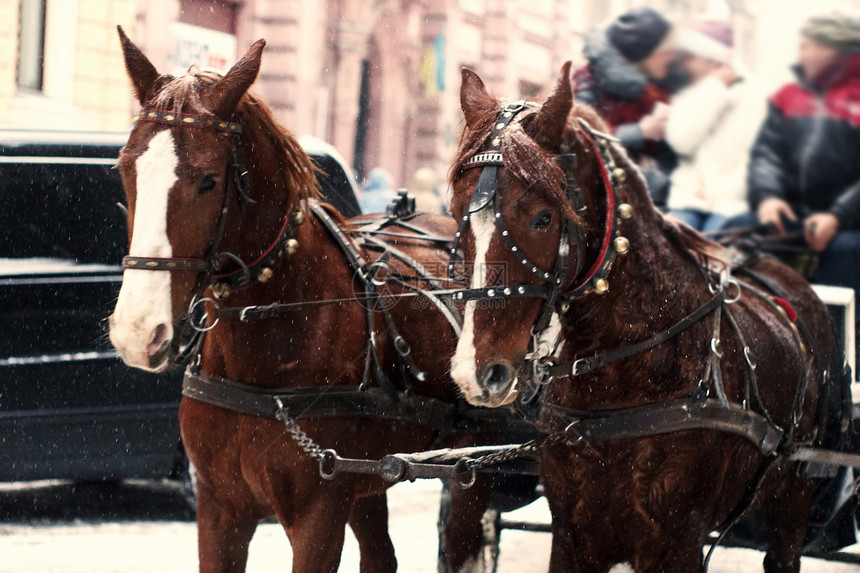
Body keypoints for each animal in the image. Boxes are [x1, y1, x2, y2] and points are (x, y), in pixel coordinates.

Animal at [110, 31, 494, 572]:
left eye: (208, 180)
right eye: (126, 169)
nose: (137, 332)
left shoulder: (319, 514)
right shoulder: (220, 510)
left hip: (467, 469)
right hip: (372, 476)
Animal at [446, 63, 828, 572]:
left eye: (543, 217)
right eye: (455, 214)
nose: (476, 373)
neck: (624, 377)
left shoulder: (677, 541)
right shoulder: (575, 534)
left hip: (793, 499)